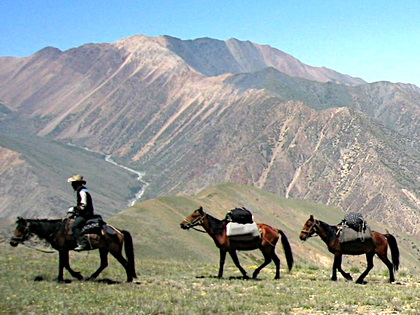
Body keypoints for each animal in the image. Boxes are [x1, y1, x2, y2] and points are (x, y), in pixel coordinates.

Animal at [9, 217, 137, 284]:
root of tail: (119, 231)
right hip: (103, 249)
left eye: (21, 228)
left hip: (114, 250)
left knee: (125, 262)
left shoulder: (62, 249)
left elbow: (63, 264)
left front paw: (64, 278)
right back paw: (91, 277)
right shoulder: (64, 250)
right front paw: (74, 276)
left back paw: (129, 280)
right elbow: (65, 263)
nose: (12, 242)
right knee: (104, 264)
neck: (56, 229)